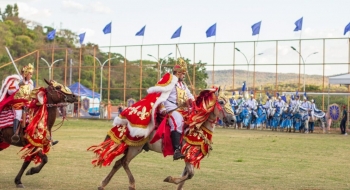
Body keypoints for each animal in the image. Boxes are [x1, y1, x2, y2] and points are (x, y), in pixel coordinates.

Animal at [87, 87, 235, 190]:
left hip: (134, 147)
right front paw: (169, 179)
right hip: (135, 147)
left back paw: (103, 184)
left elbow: (186, 177)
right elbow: (189, 175)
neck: (197, 126)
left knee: (119, 163)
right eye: (221, 102)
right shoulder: (187, 155)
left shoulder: (191, 157)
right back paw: (131, 184)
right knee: (124, 162)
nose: (233, 120)